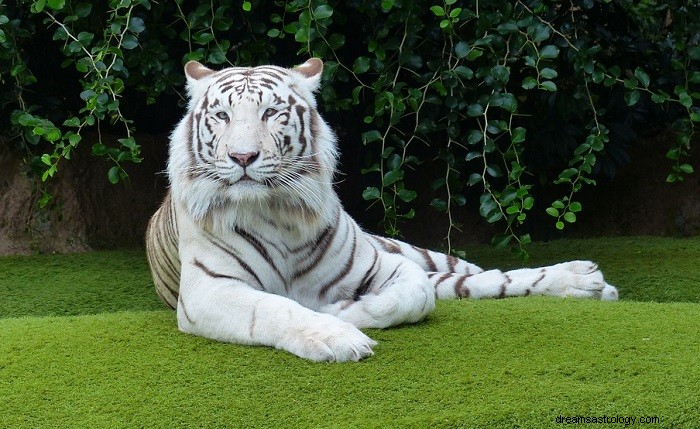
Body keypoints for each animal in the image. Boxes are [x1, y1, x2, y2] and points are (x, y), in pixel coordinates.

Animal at [144, 58, 616, 362]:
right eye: (222, 116)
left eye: (272, 113)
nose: (242, 157)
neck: (278, 211)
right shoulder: (207, 290)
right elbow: (276, 308)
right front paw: (334, 335)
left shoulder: (384, 265)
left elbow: (415, 296)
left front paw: (340, 311)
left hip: (418, 253)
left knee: (479, 277)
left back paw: (586, 281)